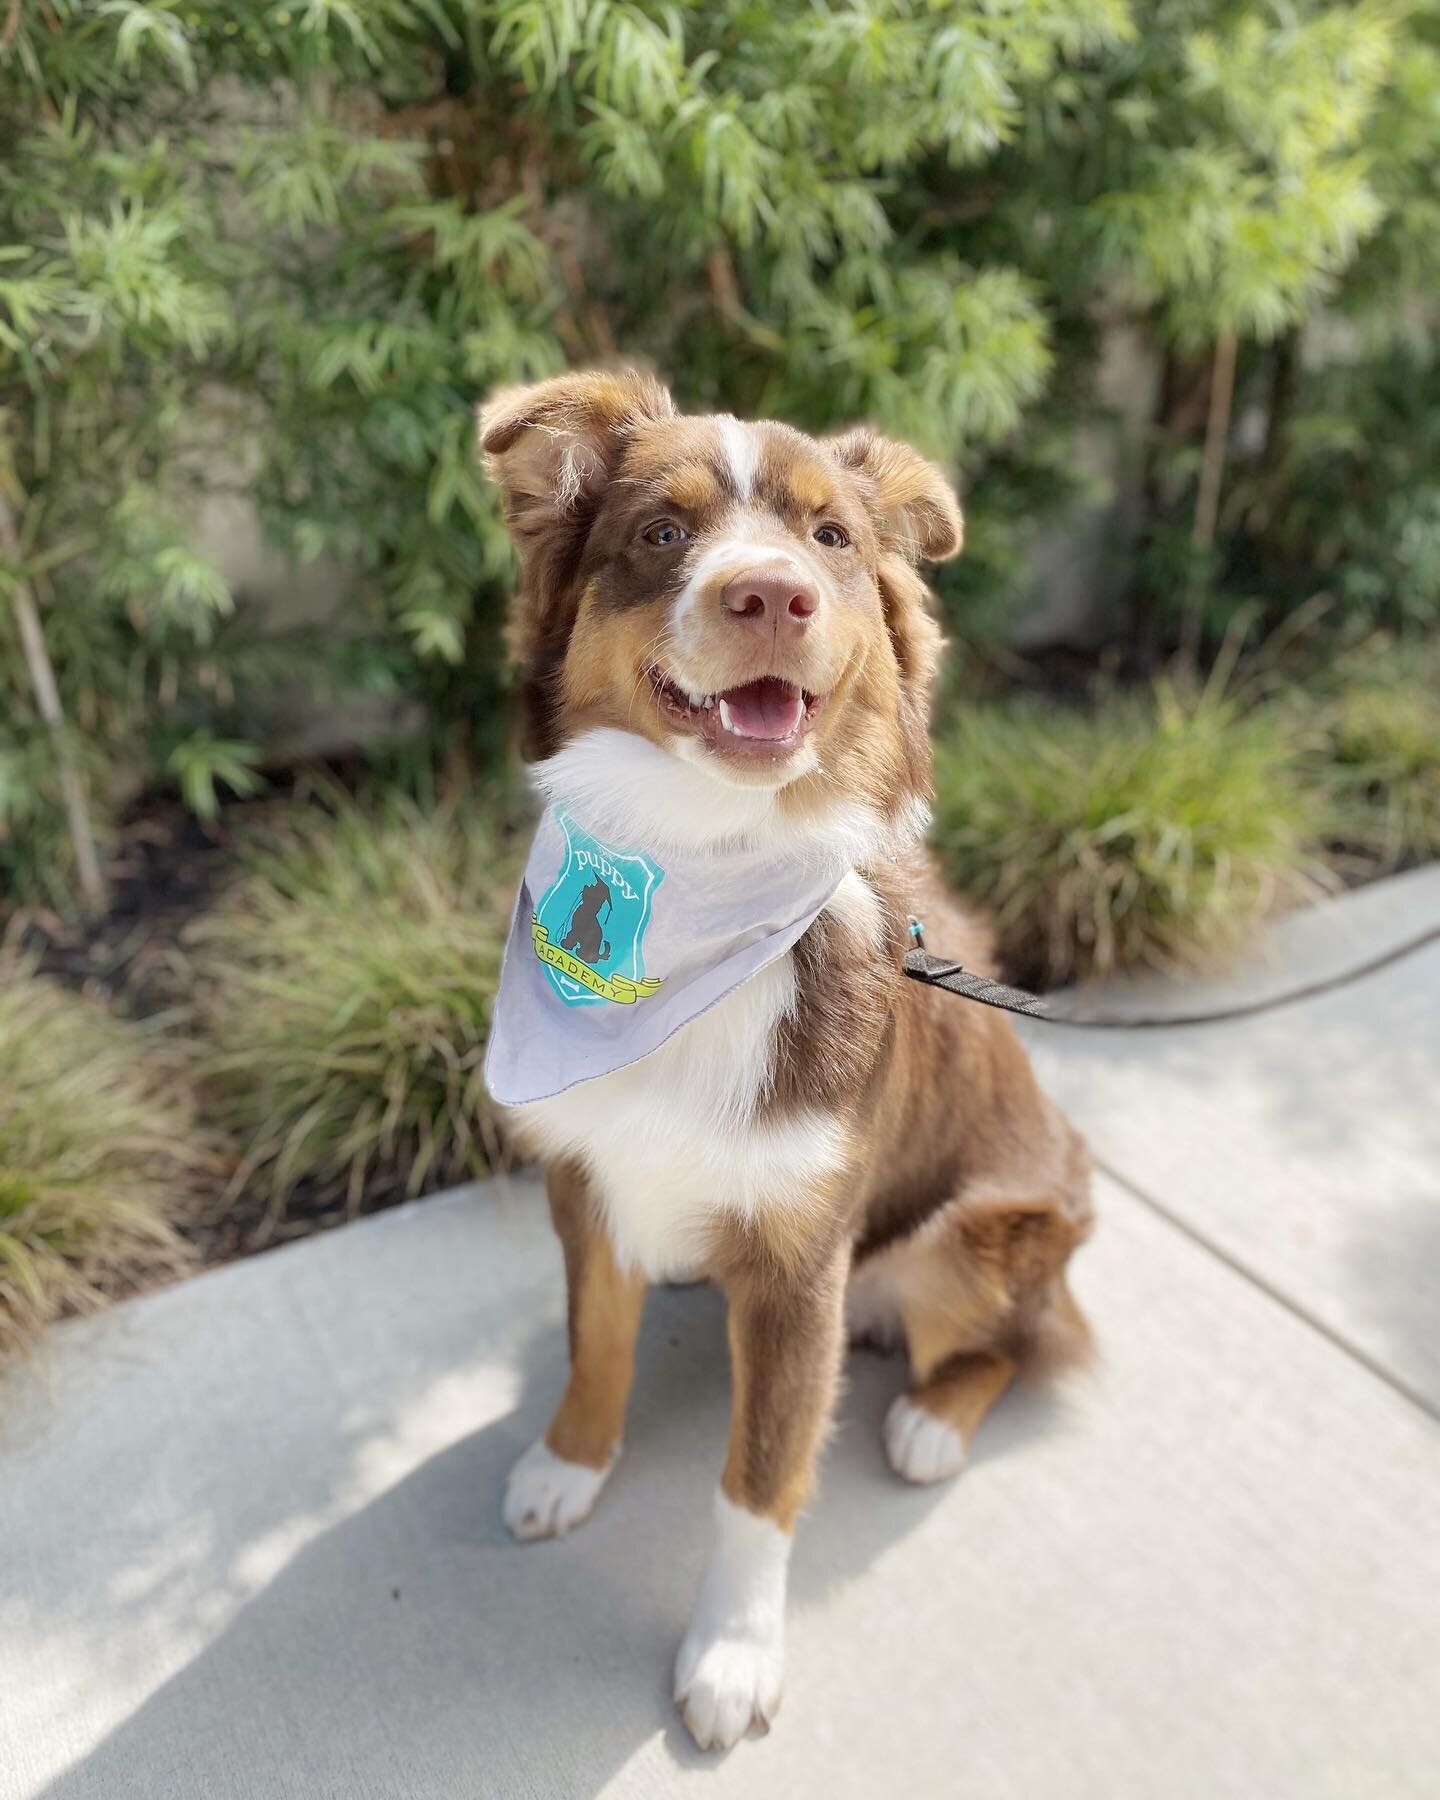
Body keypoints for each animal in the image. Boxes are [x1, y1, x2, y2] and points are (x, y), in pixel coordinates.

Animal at [478, 369, 1087, 1756]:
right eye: (660, 531)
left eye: (832, 539)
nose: (771, 596)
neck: (702, 858)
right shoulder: (590, 1175)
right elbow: (596, 1340)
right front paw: (570, 1462)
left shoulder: (805, 1261)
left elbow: (758, 1480)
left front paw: (733, 1655)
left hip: (982, 1232)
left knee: (1019, 1339)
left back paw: (928, 1419)